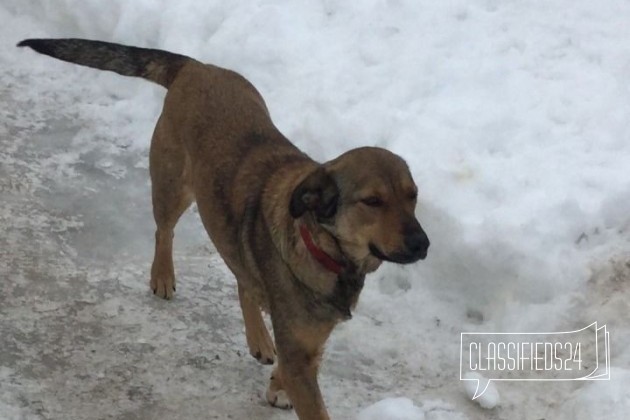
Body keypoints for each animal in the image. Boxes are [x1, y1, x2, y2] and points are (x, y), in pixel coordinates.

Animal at [21, 37, 434, 418]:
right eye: (373, 201)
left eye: (413, 195)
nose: (423, 244)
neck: (322, 245)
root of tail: (197, 67)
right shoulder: (300, 351)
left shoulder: (310, 343)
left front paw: (276, 386)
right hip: (172, 186)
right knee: (164, 232)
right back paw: (163, 275)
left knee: (242, 277)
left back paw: (259, 337)